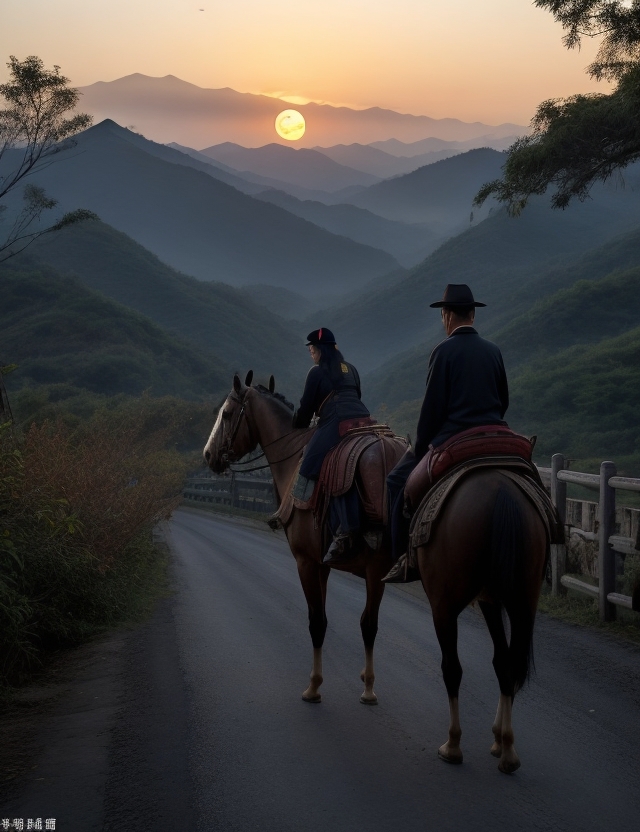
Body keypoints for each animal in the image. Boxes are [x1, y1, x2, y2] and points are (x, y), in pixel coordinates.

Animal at [204, 374, 404, 704]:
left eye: (228, 413)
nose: (208, 455)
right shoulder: (323, 566)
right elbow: (332, 620)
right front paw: (360, 680)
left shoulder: (306, 562)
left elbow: (317, 623)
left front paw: (314, 685)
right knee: (370, 624)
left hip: (376, 568)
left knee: (368, 624)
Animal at [416, 468, 552, 772]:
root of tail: (502, 495)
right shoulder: (491, 598)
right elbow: (502, 660)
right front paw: (499, 738)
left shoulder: (447, 605)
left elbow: (454, 667)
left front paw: (455, 744)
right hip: (525, 597)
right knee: (510, 663)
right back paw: (508, 750)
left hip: (445, 605)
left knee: (453, 668)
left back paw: (454, 745)